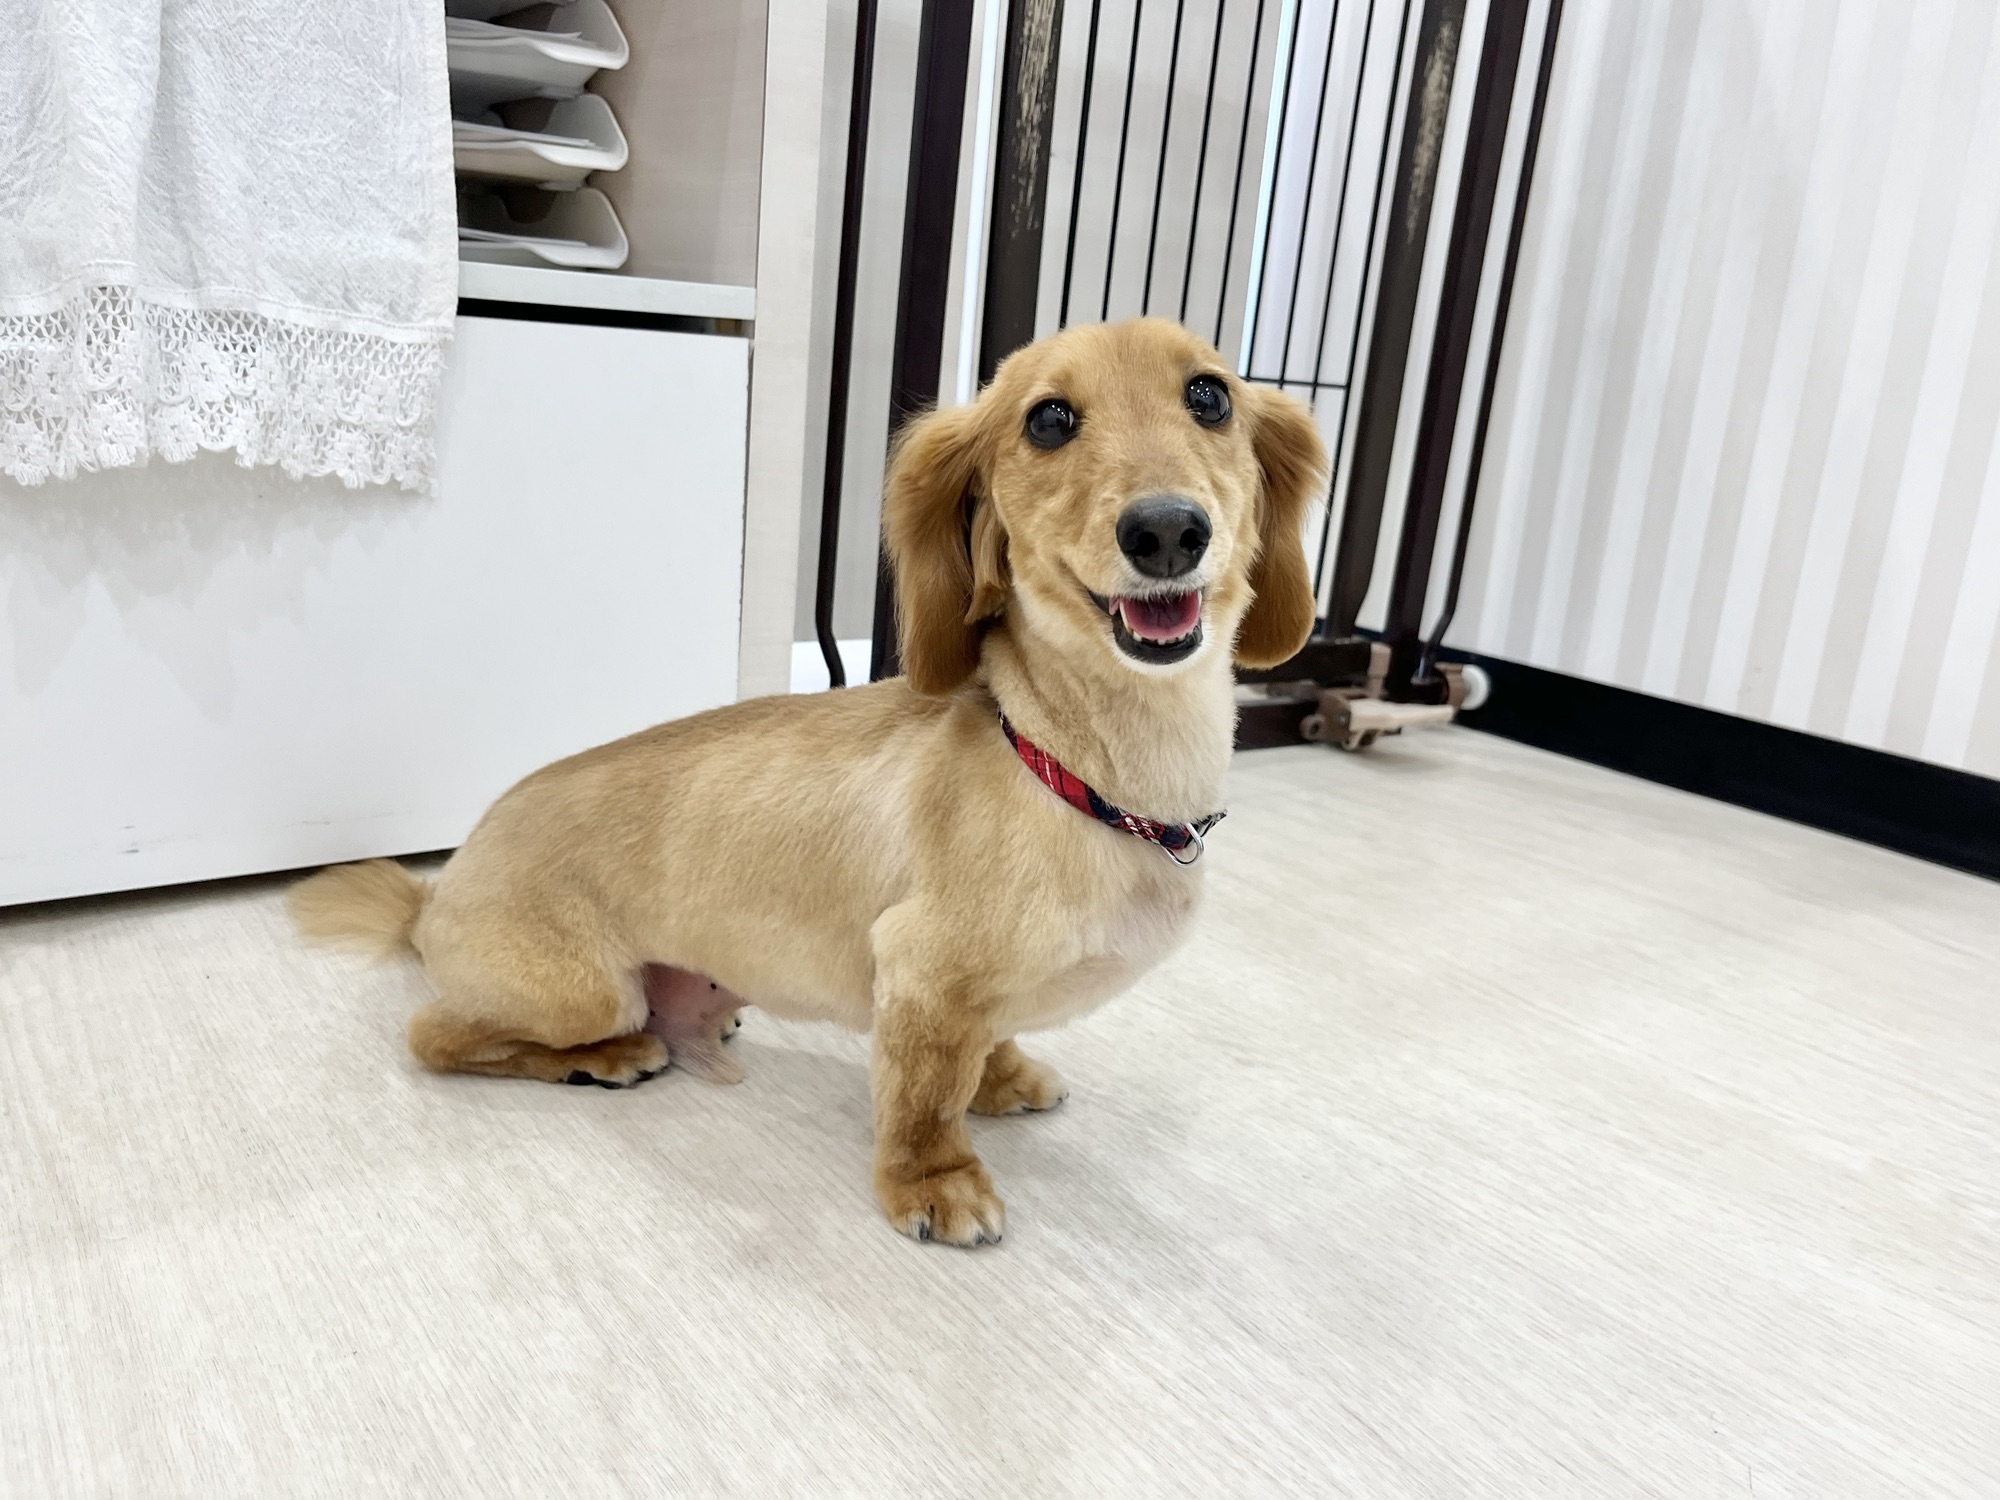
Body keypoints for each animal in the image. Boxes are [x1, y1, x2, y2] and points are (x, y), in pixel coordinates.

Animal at [290, 317, 1326, 1246]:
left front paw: (1001, 1078)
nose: (1166, 529)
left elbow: (982, 1045)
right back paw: (607, 1057)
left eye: (1210, 397)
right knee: (437, 1037)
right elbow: (924, 1097)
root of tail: (432, 901)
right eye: (1049, 420)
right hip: (578, 989)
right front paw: (935, 1183)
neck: (1068, 765)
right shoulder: (918, 974)